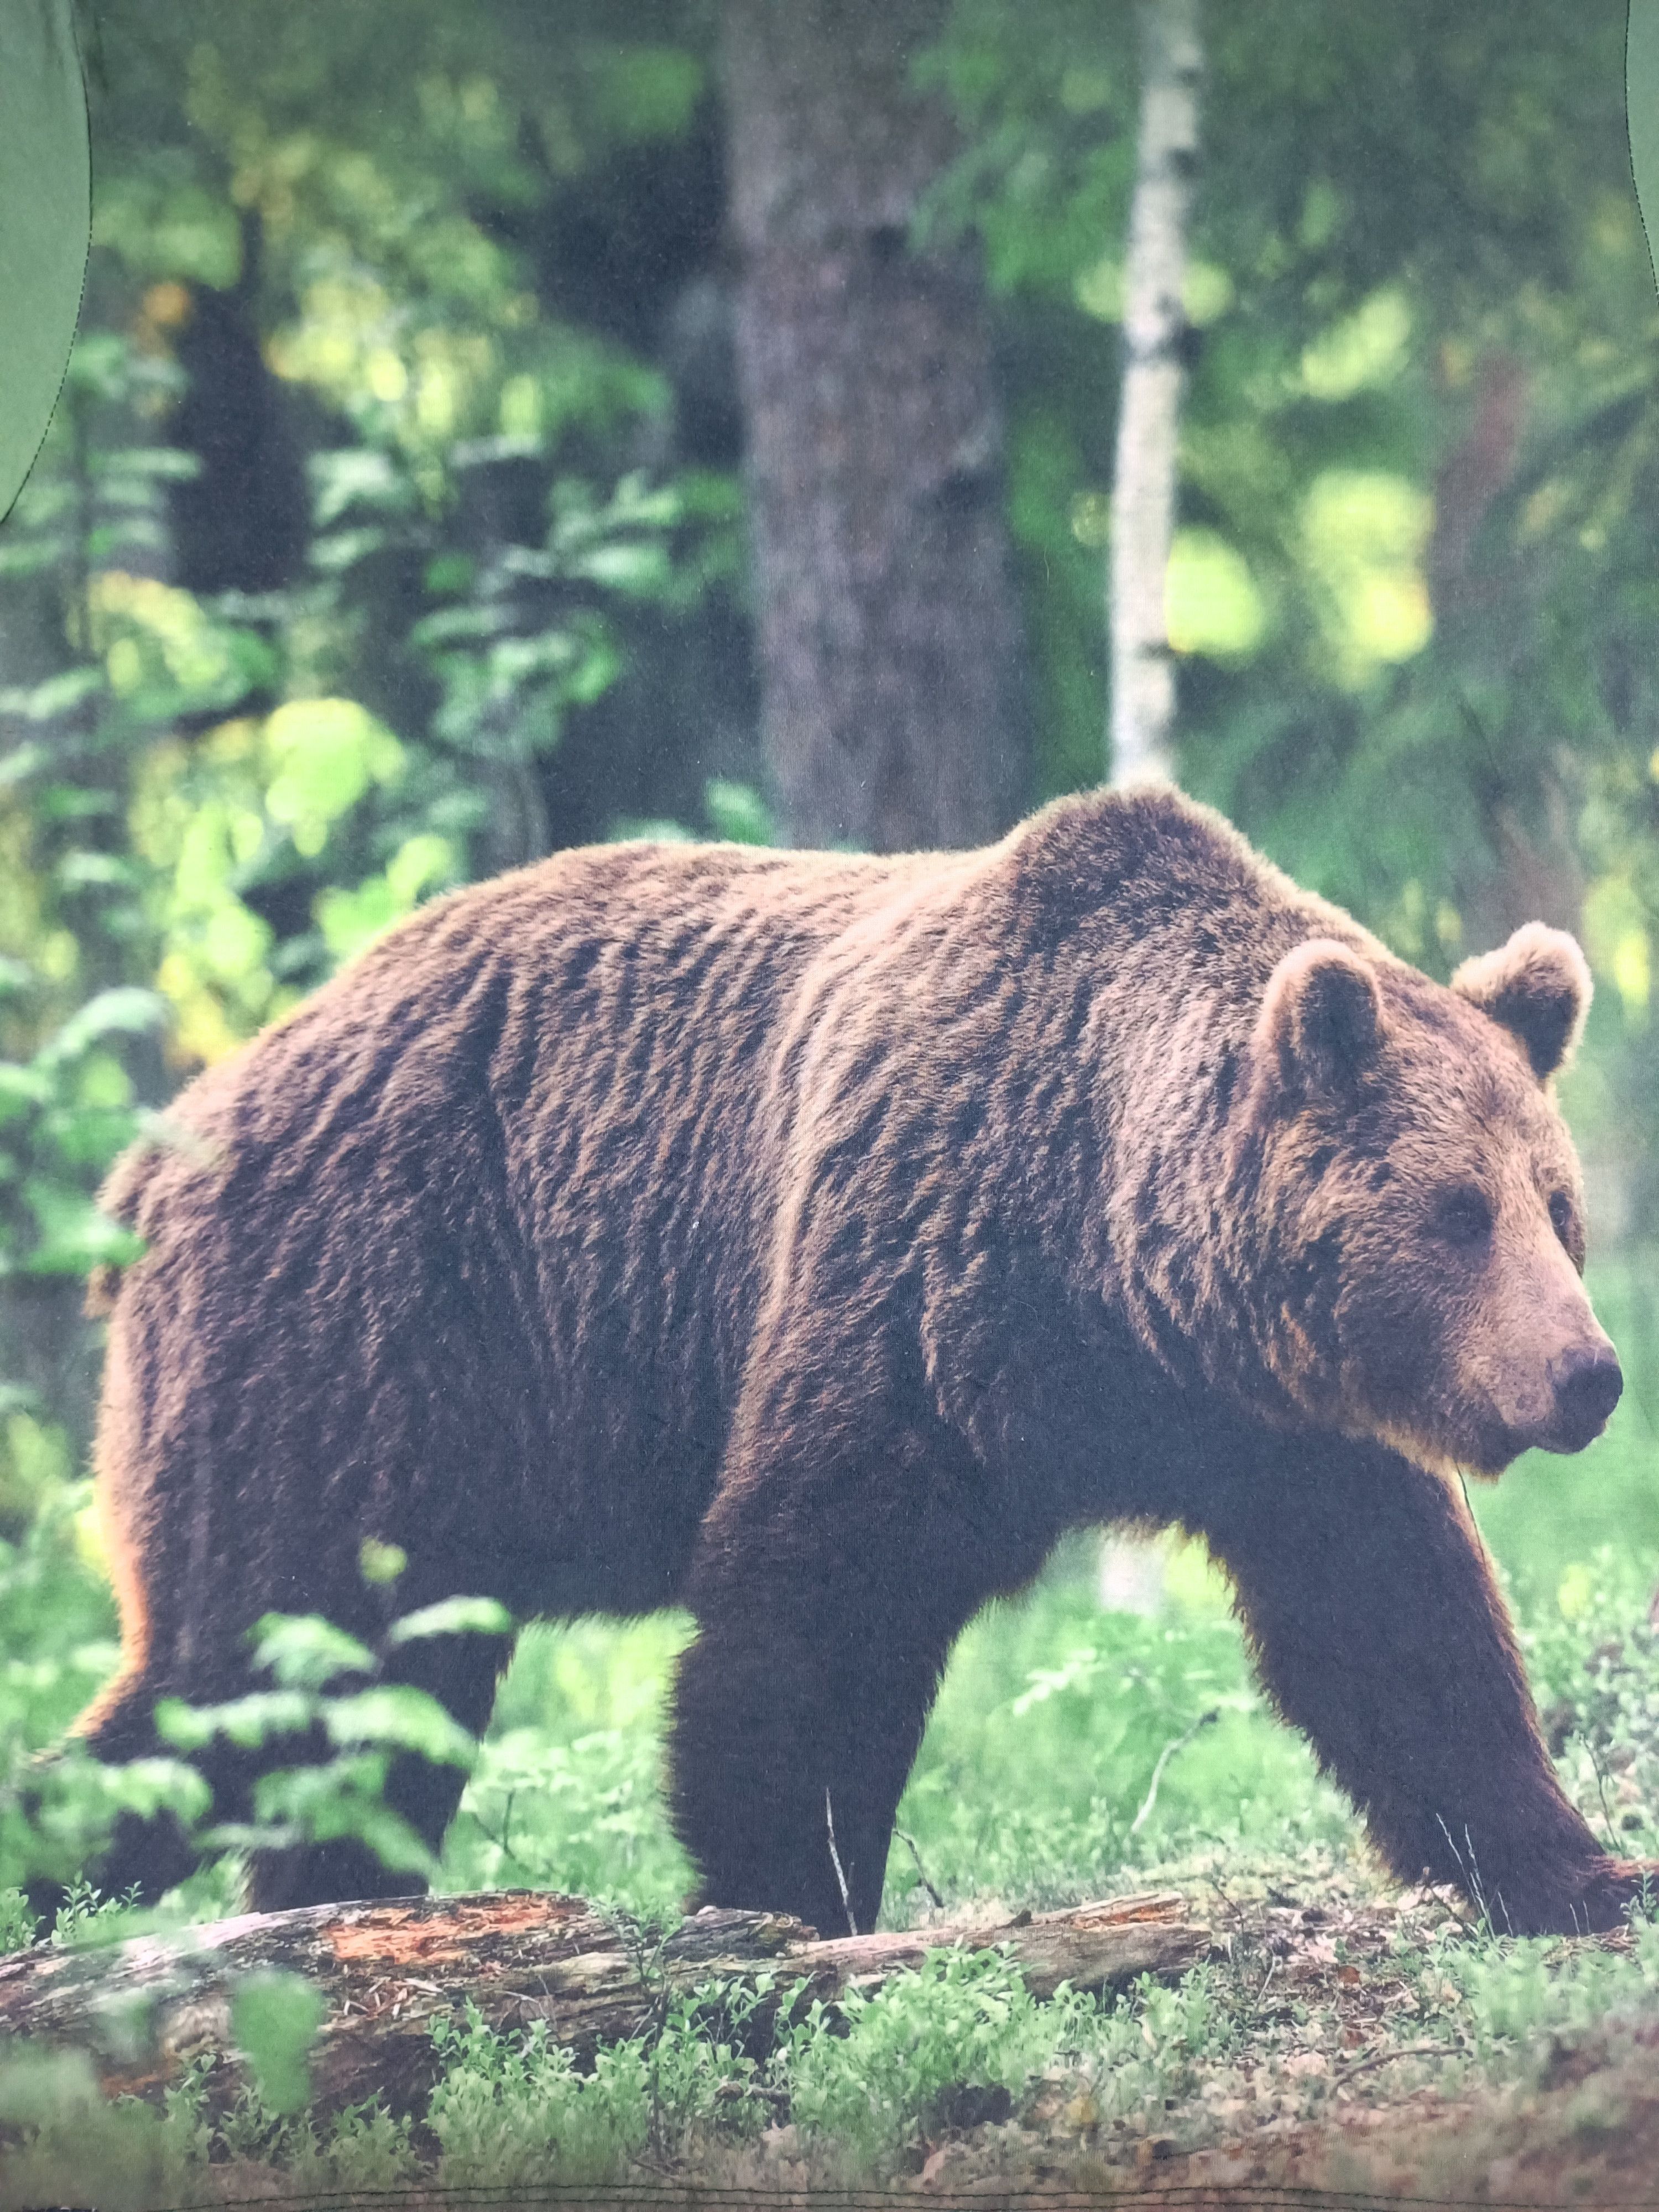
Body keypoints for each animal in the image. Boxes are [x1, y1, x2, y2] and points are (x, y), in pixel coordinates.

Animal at [60, 782, 1643, 1939]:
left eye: (1556, 1204)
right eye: (1457, 1211)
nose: (1587, 1373)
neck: (1120, 1272)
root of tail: (159, 1150)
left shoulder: (1273, 1427)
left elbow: (1397, 1627)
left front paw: (1573, 1870)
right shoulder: (917, 1285)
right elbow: (810, 1613)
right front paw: (785, 1904)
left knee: (351, 1712)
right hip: (356, 1336)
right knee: (242, 1670)